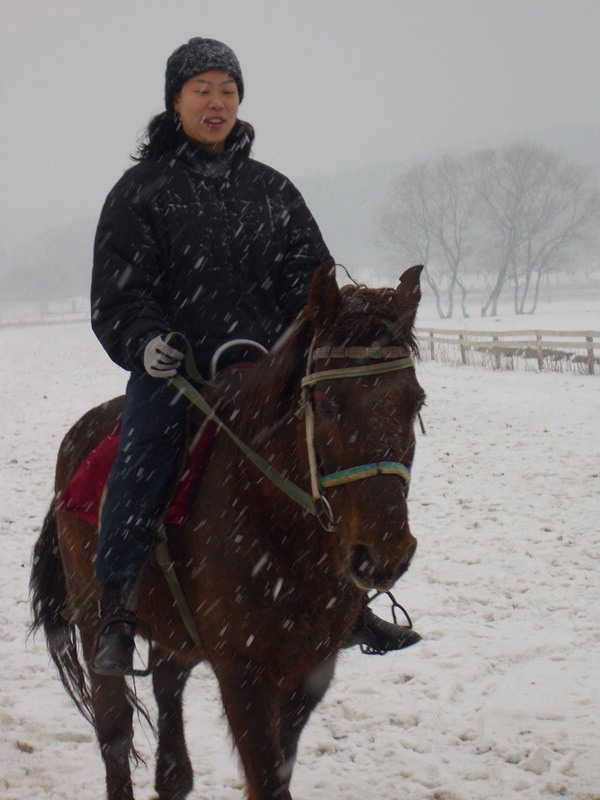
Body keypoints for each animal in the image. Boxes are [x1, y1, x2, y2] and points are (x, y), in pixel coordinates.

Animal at [30, 262, 426, 800]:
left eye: (414, 402)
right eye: (328, 403)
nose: (384, 553)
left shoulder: (310, 672)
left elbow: (280, 768)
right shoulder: (243, 673)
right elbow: (266, 779)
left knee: (167, 692)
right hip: (95, 626)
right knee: (115, 736)